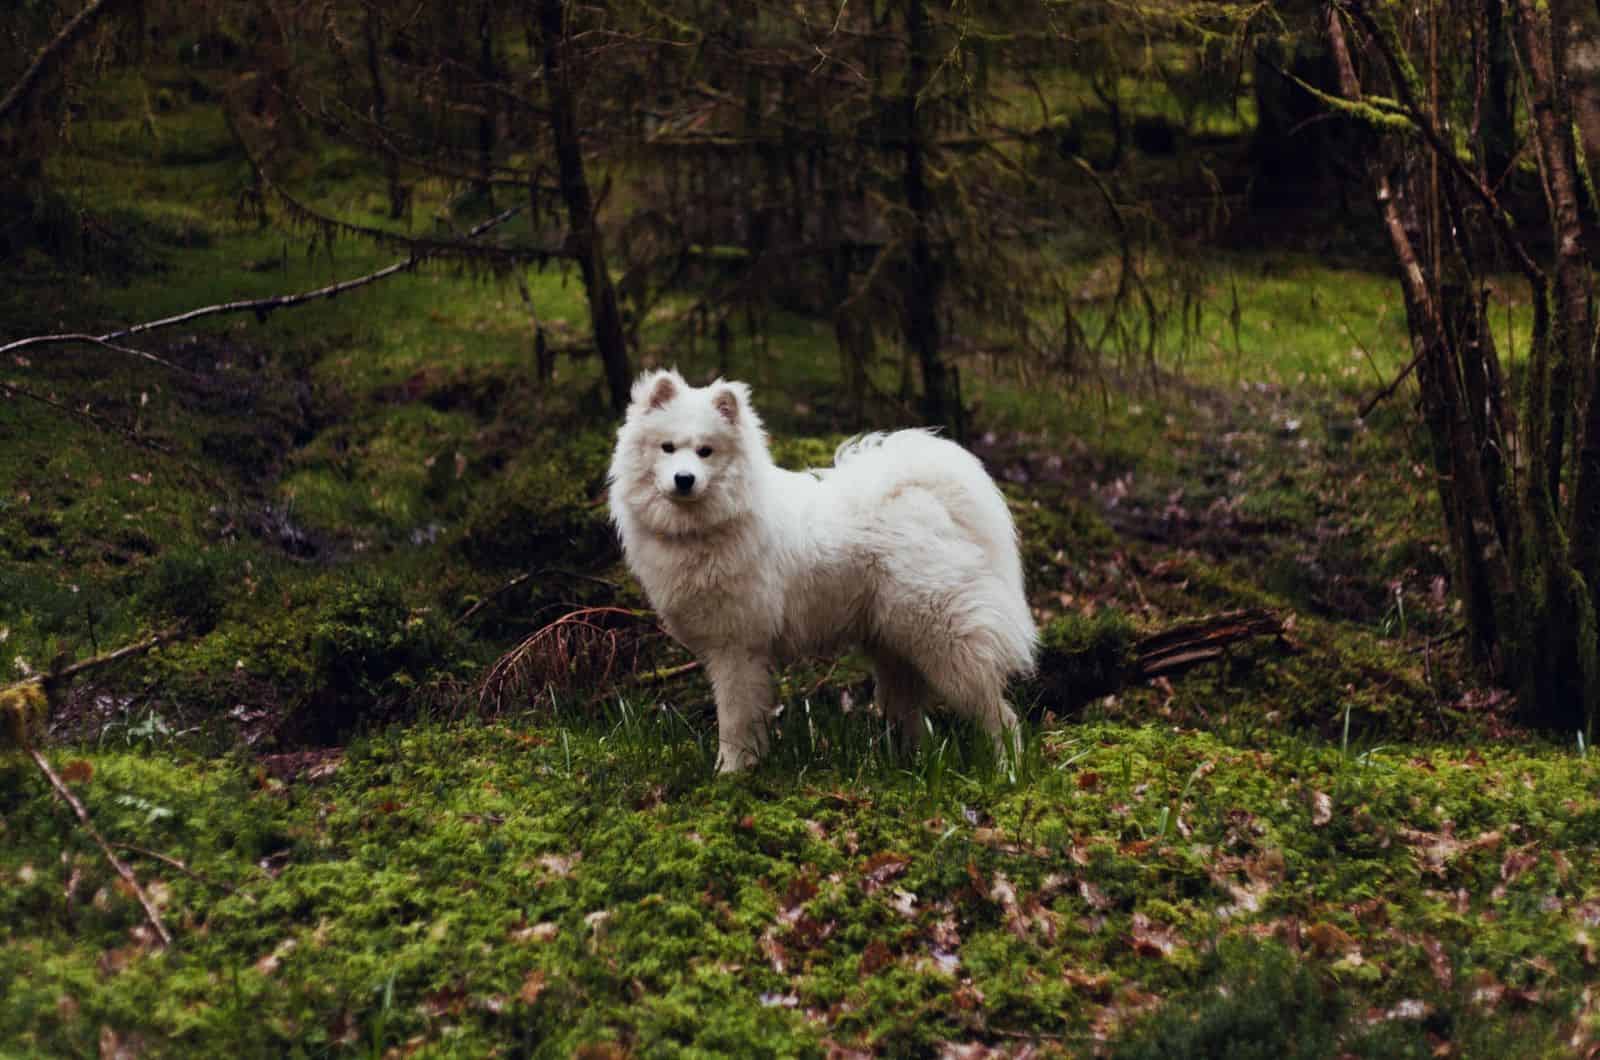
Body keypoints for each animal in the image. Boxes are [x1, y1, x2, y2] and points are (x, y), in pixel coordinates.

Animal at [601, 371, 1036, 771]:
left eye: (705, 451)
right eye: (668, 448)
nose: (684, 479)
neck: (710, 525)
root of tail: (929, 500)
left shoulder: (737, 649)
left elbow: (734, 720)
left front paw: (731, 774)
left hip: (944, 641)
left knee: (999, 715)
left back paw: (1007, 771)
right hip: (895, 647)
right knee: (914, 717)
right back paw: (913, 766)